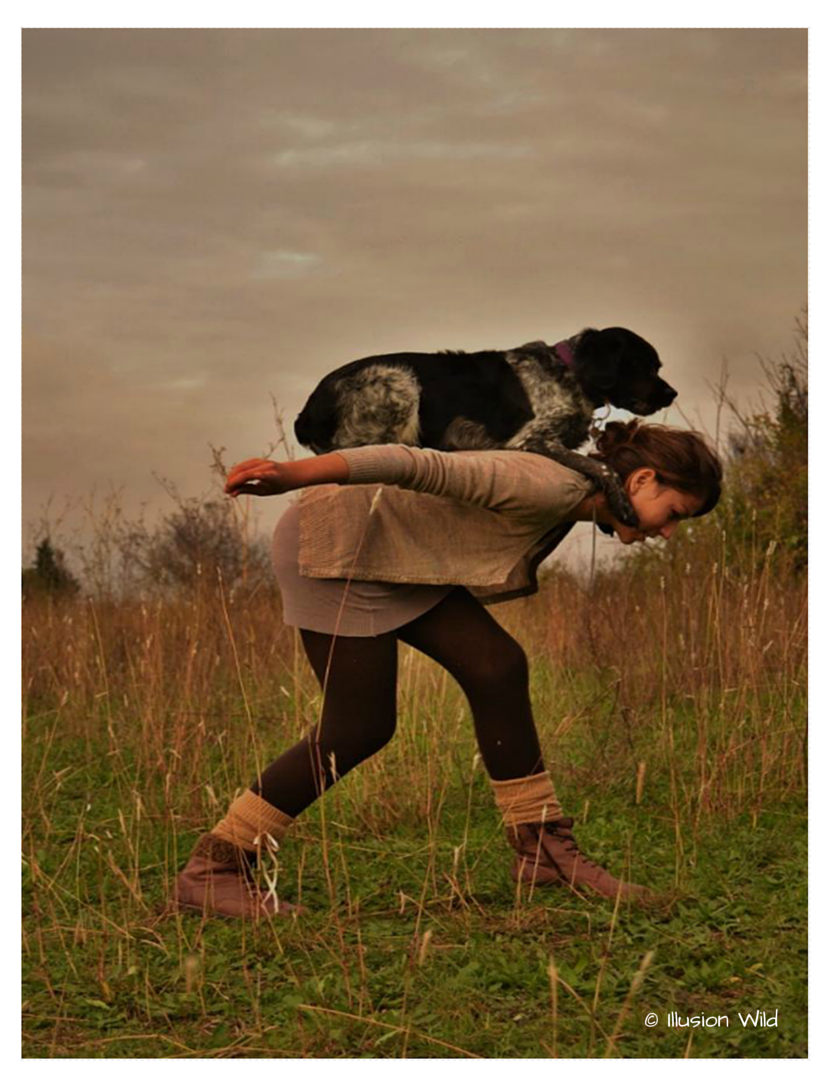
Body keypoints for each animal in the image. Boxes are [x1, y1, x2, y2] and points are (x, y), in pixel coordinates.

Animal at [295, 327, 677, 527]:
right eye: (643, 365)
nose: (672, 394)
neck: (570, 374)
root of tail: (307, 411)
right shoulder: (531, 439)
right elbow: (600, 466)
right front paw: (622, 503)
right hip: (400, 383)